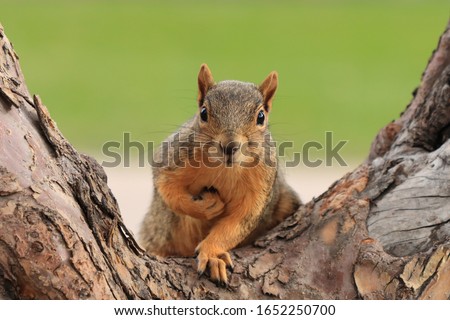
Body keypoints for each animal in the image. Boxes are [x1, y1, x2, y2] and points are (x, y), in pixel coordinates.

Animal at [140, 65, 302, 284]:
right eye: (203, 113)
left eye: (261, 117)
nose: (229, 146)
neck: (223, 169)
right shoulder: (171, 159)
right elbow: (168, 190)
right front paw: (206, 207)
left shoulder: (261, 187)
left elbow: (238, 223)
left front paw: (212, 254)